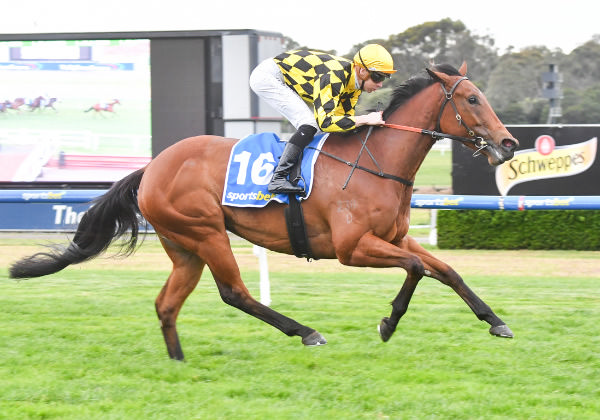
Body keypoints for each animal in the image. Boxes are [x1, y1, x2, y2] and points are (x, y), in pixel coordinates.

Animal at [8, 63, 520, 360]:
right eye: (472, 99)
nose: (509, 142)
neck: (376, 161)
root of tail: (152, 167)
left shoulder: (393, 238)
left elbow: (445, 270)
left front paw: (495, 321)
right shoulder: (354, 247)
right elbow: (416, 268)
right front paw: (388, 323)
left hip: (184, 246)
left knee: (167, 303)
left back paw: (178, 361)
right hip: (206, 232)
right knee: (234, 292)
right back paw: (306, 331)